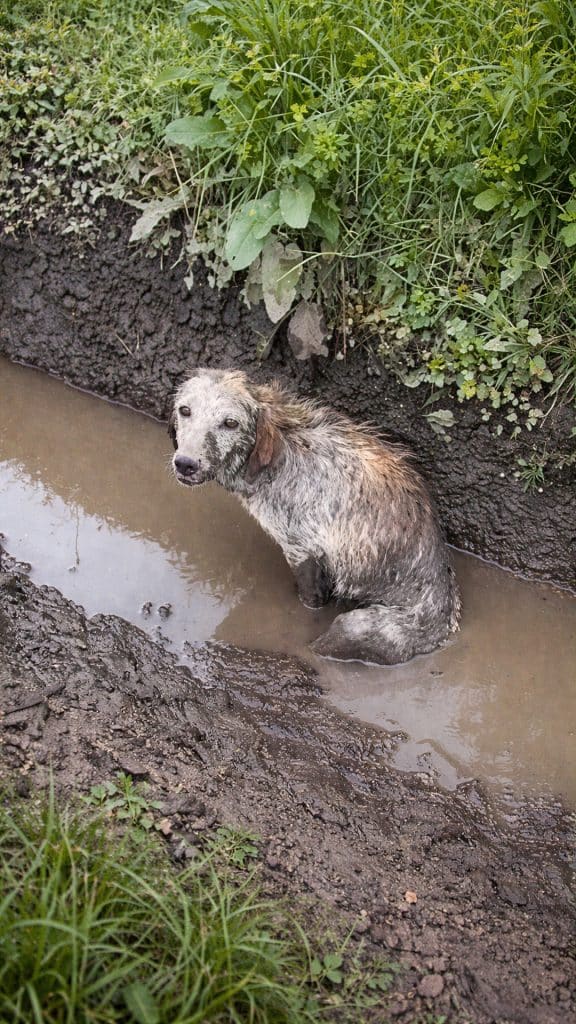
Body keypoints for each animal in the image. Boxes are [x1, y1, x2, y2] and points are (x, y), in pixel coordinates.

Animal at [169, 368, 460, 664]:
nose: (186, 464)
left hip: (353, 627)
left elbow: (311, 598)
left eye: (230, 423)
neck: (281, 455)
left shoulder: (301, 549)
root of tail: (441, 633)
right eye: (185, 410)